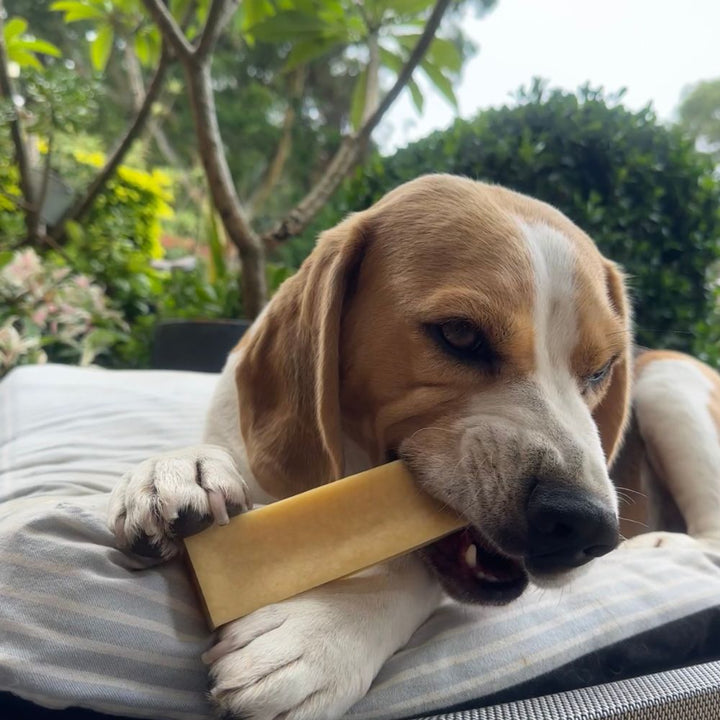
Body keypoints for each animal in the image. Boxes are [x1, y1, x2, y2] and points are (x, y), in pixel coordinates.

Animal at [108, 176, 720, 720]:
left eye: (600, 369)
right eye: (460, 335)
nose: (589, 529)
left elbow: (408, 574)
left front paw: (324, 631)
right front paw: (176, 471)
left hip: (665, 379)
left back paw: (656, 544)